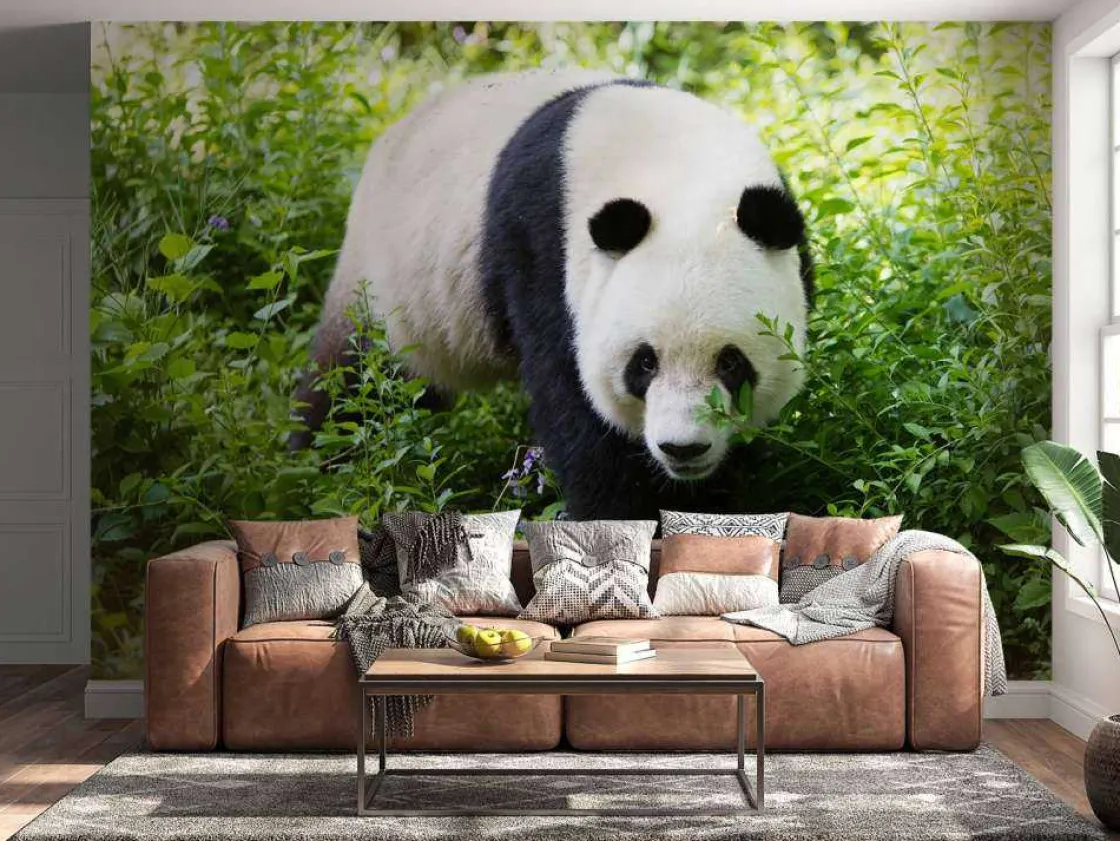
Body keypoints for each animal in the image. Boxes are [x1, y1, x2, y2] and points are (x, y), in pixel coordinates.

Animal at [295, 69, 814, 520]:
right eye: (644, 362)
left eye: (731, 362)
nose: (682, 448)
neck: (677, 165)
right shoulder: (543, 252)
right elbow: (580, 416)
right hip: (385, 286)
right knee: (351, 385)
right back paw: (315, 472)